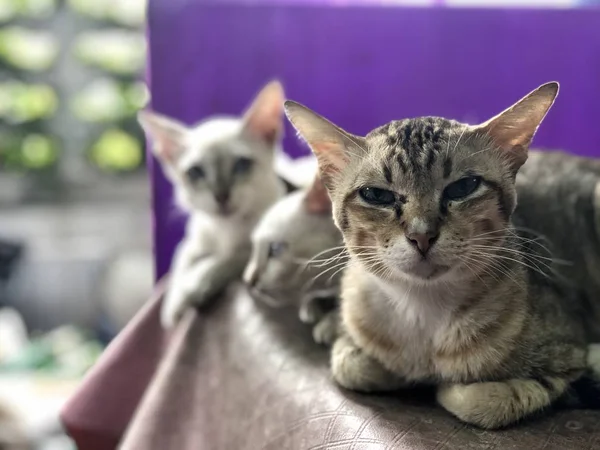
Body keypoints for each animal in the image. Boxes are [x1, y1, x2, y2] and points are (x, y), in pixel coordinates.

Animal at [284, 82, 596, 430]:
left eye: (464, 187)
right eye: (376, 195)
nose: (422, 235)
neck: (422, 311)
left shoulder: (568, 350)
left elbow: (483, 399)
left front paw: (444, 386)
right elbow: (351, 366)